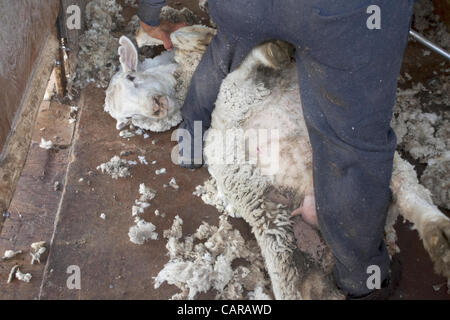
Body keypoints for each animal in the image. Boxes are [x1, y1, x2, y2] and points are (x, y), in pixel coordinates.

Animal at [106, 25, 450, 300]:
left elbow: (186, 36)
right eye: (129, 117)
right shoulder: (237, 77)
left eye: (132, 76)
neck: (184, 78)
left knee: (412, 197)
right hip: (280, 229)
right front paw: (275, 48)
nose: (156, 107)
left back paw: (439, 237)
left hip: (380, 170)